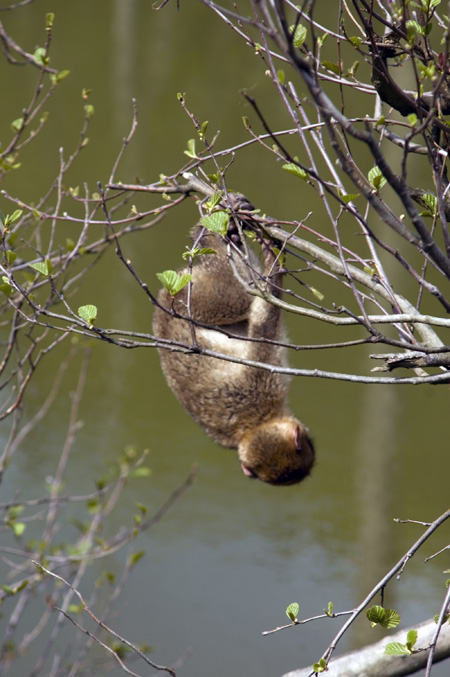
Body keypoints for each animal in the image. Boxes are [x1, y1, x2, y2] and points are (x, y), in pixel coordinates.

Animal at [153, 198, 314, 484]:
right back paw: (214, 234)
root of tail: (167, 306)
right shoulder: (264, 380)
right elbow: (264, 323)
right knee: (239, 295)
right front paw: (273, 265)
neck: (250, 425)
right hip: (198, 297)